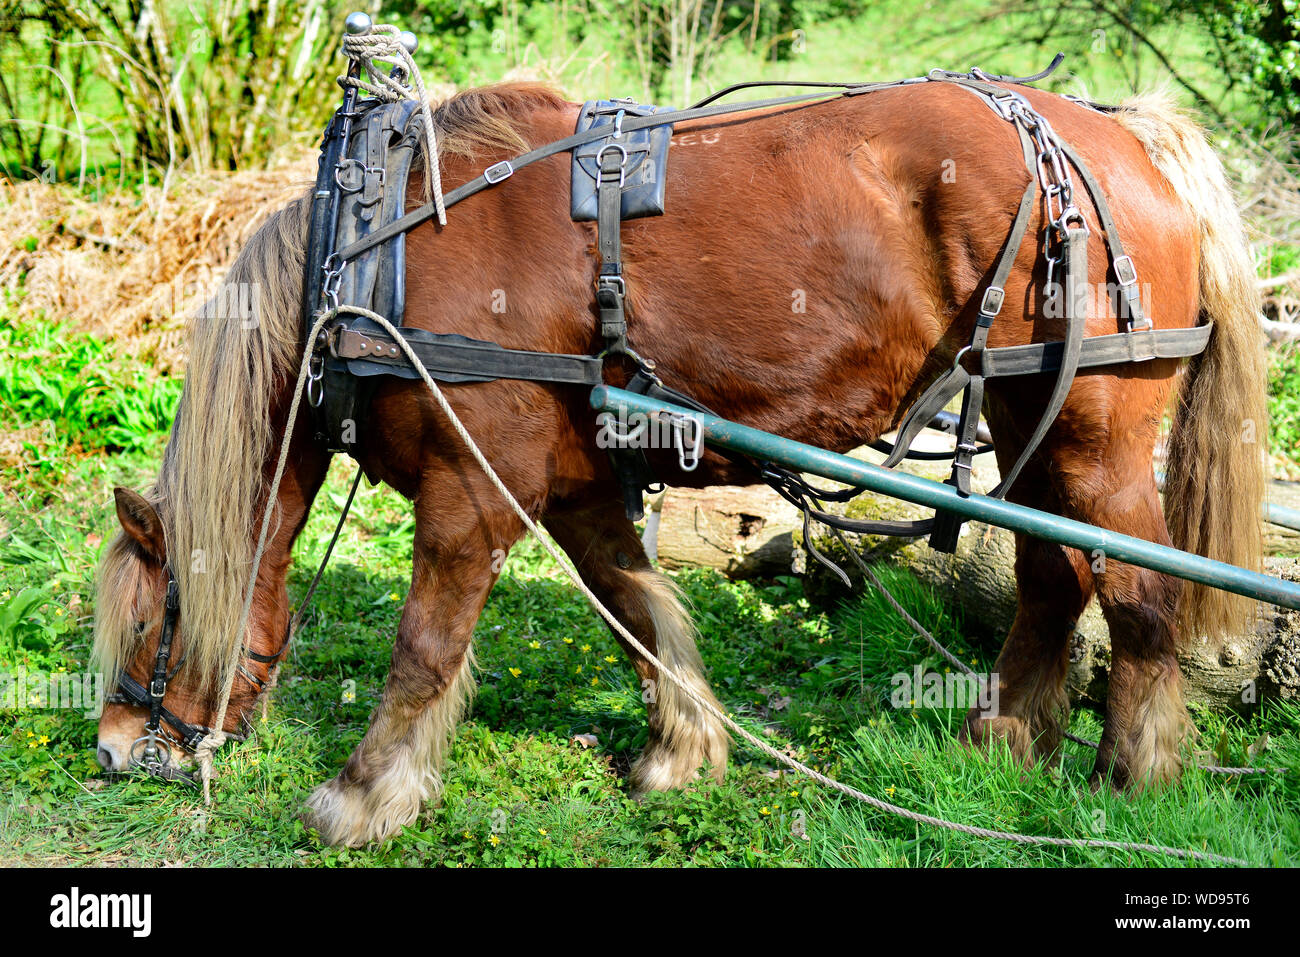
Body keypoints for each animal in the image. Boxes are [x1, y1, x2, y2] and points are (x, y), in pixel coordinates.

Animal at [91, 79, 1266, 847]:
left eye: (151, 621)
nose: (111, 751)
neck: (374, 253)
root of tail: (1119, 138)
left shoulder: (471, 486)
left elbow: (425, 644)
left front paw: (364, 795)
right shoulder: (570, 484)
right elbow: (639, 606)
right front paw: (682, 750)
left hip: (1099, 442)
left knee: (1142, 591)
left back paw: (1136, 773)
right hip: (1032, 418)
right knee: (1051, 574)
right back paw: (1004, 736)